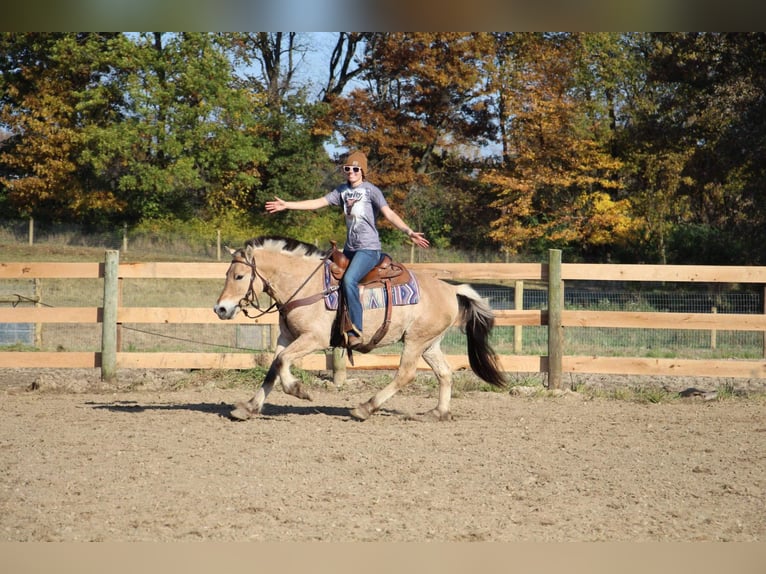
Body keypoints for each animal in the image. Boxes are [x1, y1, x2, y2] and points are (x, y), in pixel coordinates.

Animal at [213, 237, 508, 424]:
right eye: (227, 275)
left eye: (239, 276)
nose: (221, 309)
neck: (305, 285)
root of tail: (451, 289)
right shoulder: (287, 338)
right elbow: (274, 366)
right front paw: (249, 408)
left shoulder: (314, 339)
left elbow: (283, 362)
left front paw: (299, 390)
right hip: (430, 344)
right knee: (445, 373)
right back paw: (438, 413)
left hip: (415, 341)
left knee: (405, 374)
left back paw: (365, 408)